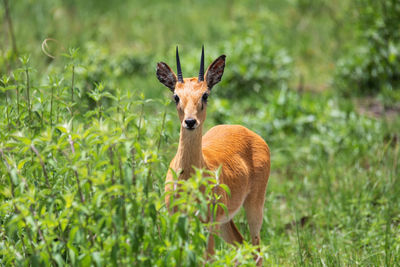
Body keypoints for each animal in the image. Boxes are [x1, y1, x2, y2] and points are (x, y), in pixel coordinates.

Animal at [155, 46, 270, 266]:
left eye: (205, 95)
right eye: (176, 96)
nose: (190, 122)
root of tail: (246, 131)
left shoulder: (209, 225)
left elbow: (207, 258)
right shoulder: (178, 221)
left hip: (253, 208)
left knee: (257, 251)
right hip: (226, 222)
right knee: (241, 245)